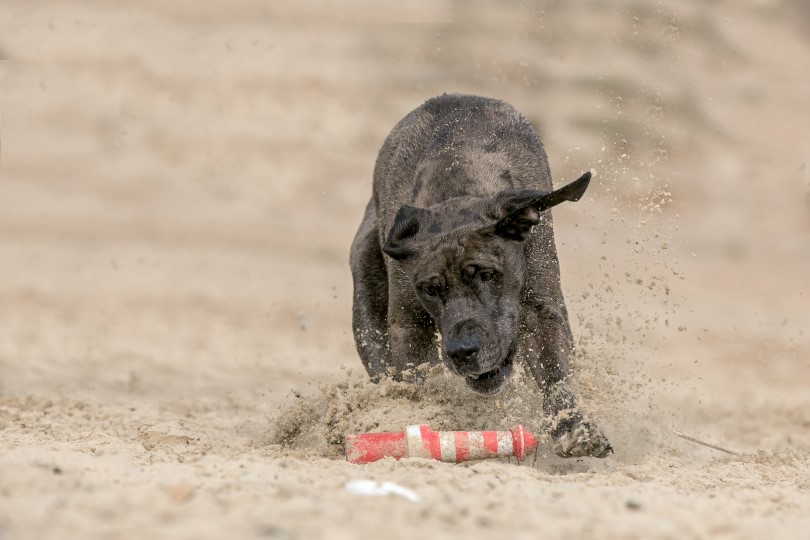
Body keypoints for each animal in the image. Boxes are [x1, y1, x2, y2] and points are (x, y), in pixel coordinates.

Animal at [350, 94, 611, 458]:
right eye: (429, 289)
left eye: (488, 275)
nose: (463, 351)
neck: (458, 185)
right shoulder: (408, 324)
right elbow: (419, 380)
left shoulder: (542, 309)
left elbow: (555, 372)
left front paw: (574, 428)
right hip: (367, 309)